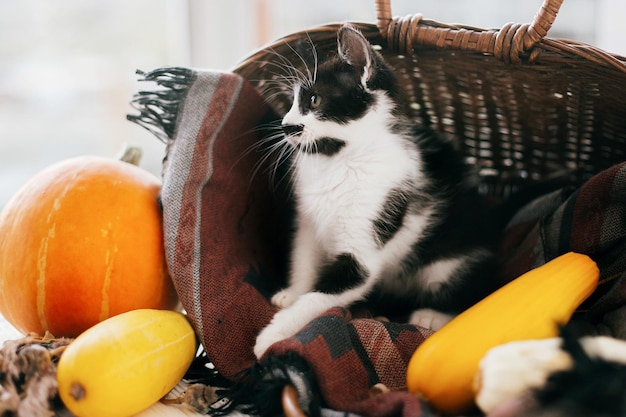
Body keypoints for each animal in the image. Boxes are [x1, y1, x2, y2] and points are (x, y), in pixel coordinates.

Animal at [254, 25, 502, 358]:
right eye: (292, 103)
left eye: (314, 100)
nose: (285, 125)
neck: (340, 160)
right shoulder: (307, 222)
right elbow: (303, 257)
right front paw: (294, 292)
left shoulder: (368, 240)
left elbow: (321, 296)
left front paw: (272, 335)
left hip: (453, 259)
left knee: (471, 290)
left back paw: (433, 315)